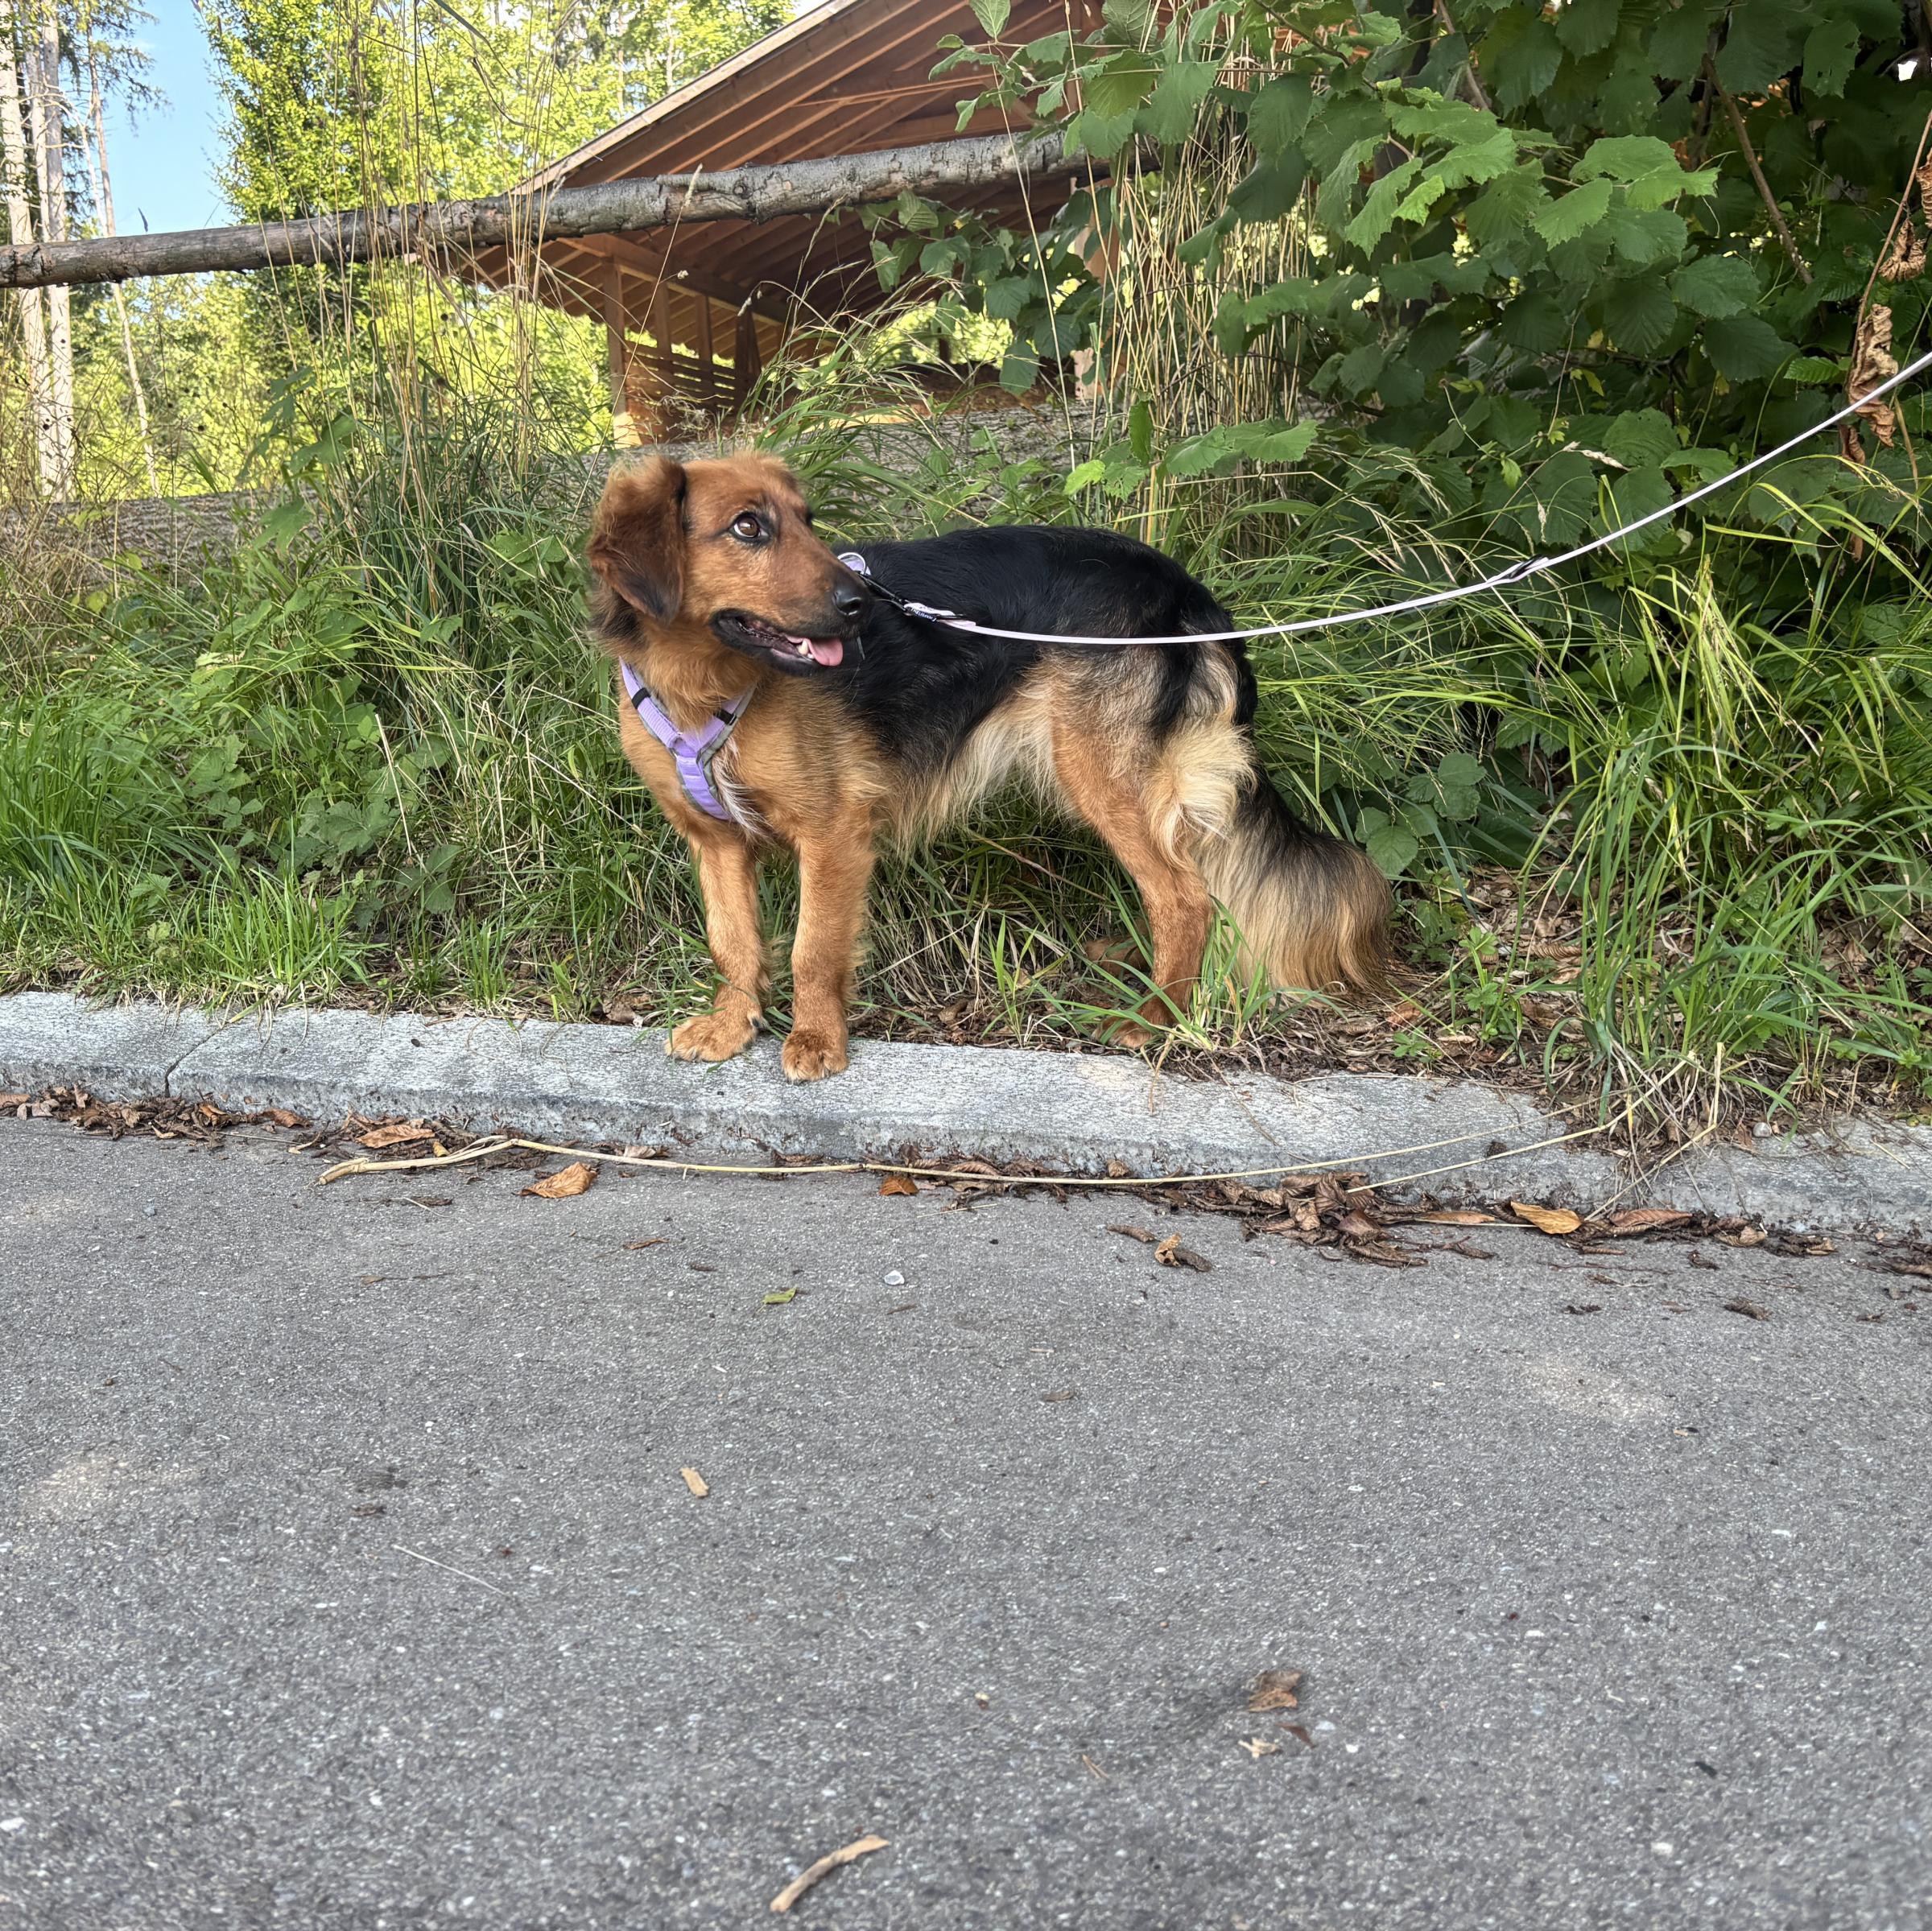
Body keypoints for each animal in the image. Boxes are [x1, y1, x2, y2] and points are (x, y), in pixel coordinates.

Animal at [587, 451, 1390, 1082]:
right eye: (748, 527)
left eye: (806, 521)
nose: (859, 605)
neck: (705, 683)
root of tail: (1184, 591)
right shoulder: (716, 843)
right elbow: (732, 942)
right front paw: (733, 1024)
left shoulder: (834, 833)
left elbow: (814, 947)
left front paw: (815, 1039)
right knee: (1185, 886)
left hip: (1100, 773)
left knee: (1186, 897)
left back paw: (1155, 1015)